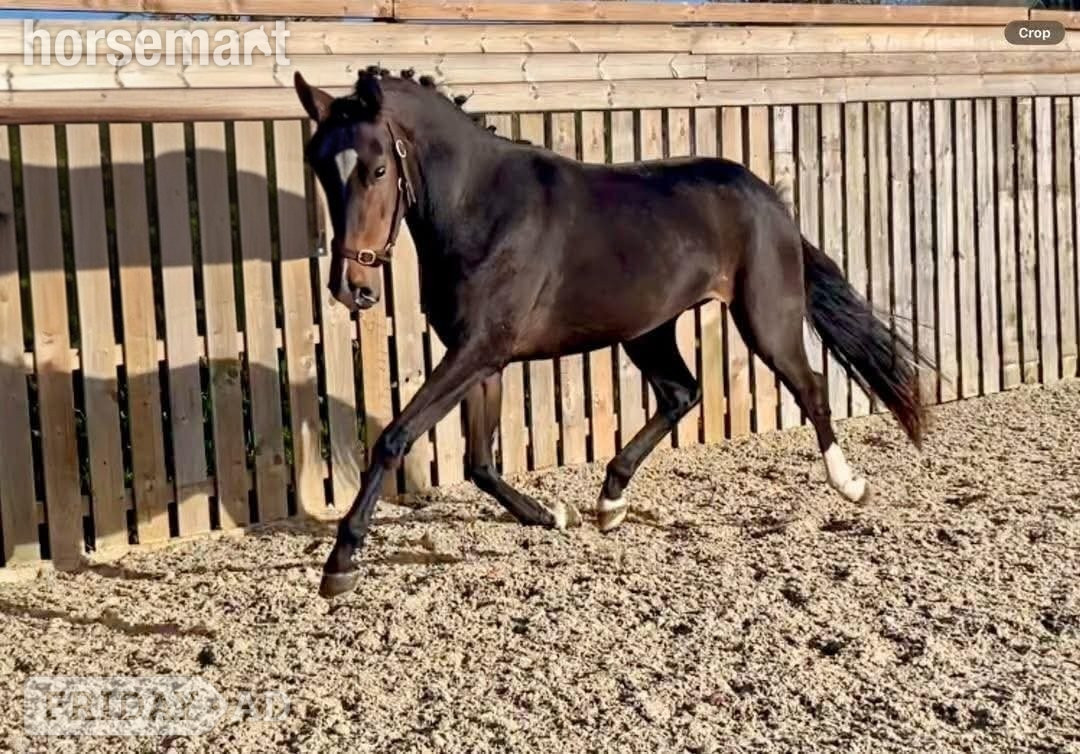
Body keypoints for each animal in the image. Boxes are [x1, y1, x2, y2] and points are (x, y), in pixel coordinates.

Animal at [295, 67, 929, 599]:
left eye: (378, 168)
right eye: (321, 167)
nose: (352, 287)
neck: (482, 208)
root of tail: (770, 199)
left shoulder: (479, 350)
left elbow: (394, 437)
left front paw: (340, 564)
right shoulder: (481, 357)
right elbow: (480, 463)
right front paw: (554, 515)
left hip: (764, 317)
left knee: (810, 386)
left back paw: (851, 486)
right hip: (647, 330)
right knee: (681, 393)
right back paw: (610, 502)